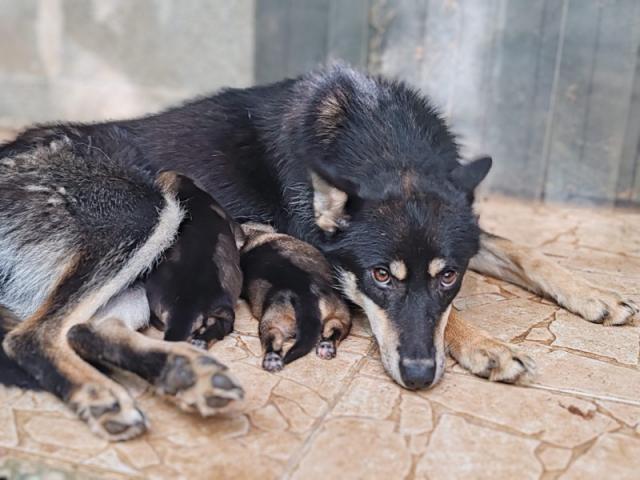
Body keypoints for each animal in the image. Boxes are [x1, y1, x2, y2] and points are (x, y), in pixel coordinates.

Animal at [241, 223, 352, 374]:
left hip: (272, 320)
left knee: (272, 339)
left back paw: (272, 360)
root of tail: (305, 294)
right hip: (339, 312)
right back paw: (326, 347)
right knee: (335, 329)